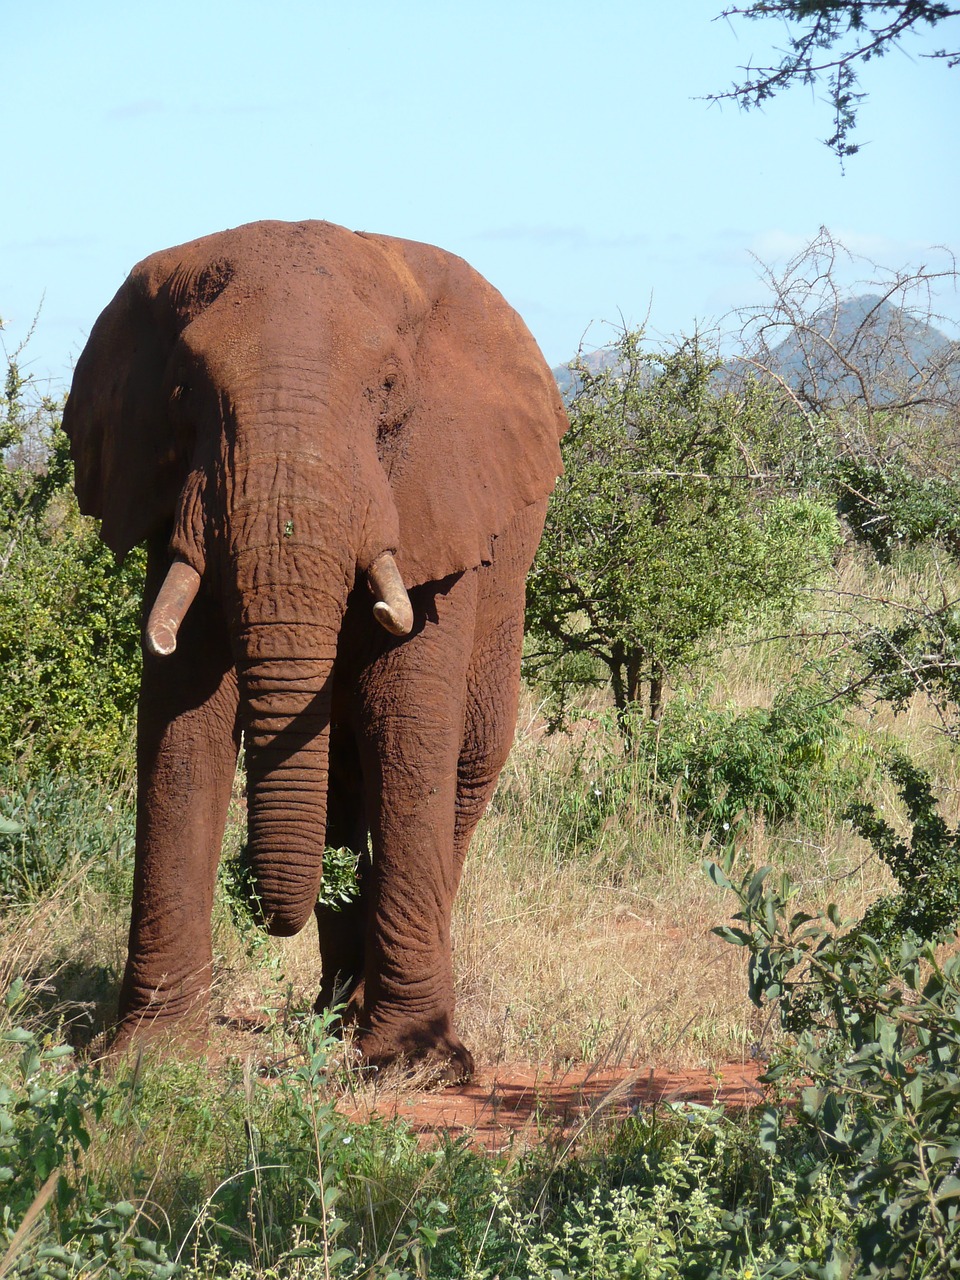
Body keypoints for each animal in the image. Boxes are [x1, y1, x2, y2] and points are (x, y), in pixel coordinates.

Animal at [64, 220, 568, 1080]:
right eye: (182, 393)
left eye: (391, 389)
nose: (267, 908)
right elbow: (180, 723)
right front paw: (149, 1061)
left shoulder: (437, 503)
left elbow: (406, 718)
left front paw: (413, 1064)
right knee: (340, 779)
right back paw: (335, 1014)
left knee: (463, 763)